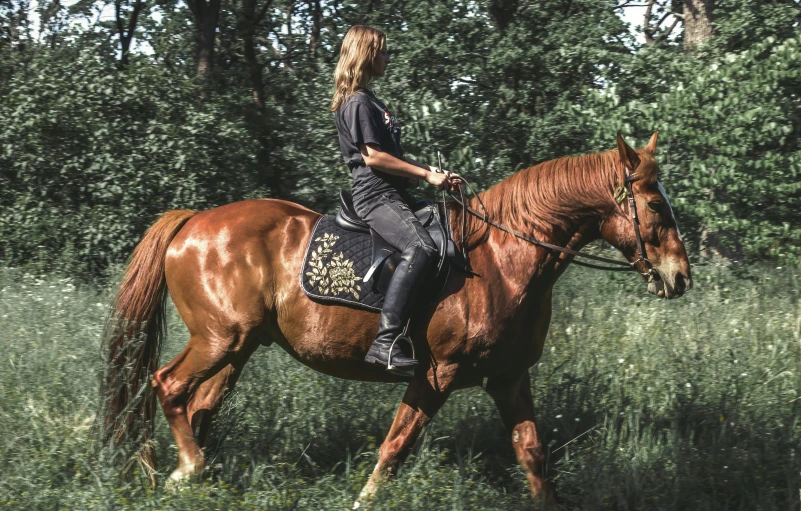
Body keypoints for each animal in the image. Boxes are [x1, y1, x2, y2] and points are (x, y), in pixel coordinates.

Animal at [100, 134, 688, 506]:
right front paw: (364, 500)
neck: (503, 261)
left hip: (238, 347)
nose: (679, 276)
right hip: (221, 338)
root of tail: (193, 221)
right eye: (656, 207)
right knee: (166, 385)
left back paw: (191, 475)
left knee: (197, 404)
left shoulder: (508, 377)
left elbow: (534, 457)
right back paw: (180, 471)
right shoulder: (437, 374)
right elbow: (396, 446)